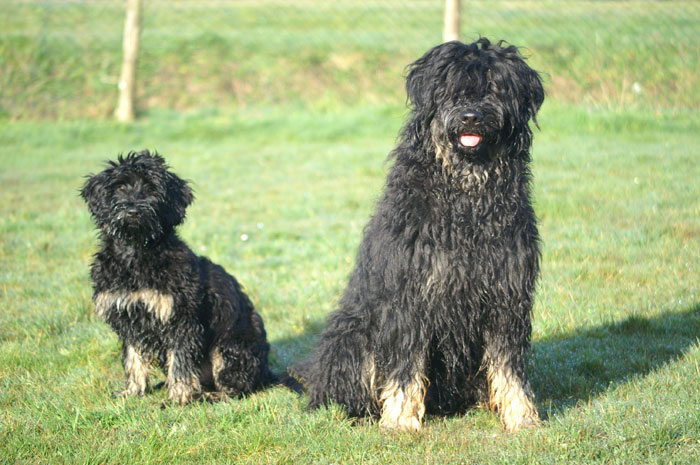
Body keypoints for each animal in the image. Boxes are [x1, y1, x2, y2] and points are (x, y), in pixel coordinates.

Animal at [82, 150, 276, 404]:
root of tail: (267, 372)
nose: (133, 211)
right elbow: (134, 359)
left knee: (237, 387)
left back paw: (208, 395)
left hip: (230, 344)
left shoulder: (182, 319)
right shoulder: (128, 317)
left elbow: (180, 362)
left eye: (152, 188)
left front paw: (178, 398)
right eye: (120, 187)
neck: (136, 255)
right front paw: (132, 392)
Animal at [298, 39, 544, 432]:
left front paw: (521, 415)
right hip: (352, 336)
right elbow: (405, 364)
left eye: (494, 87)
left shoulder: (506, 293)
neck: (465, 198)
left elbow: (509, 364)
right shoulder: (408, 295)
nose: (470, 116)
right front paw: (400, 419)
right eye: (451, 89)